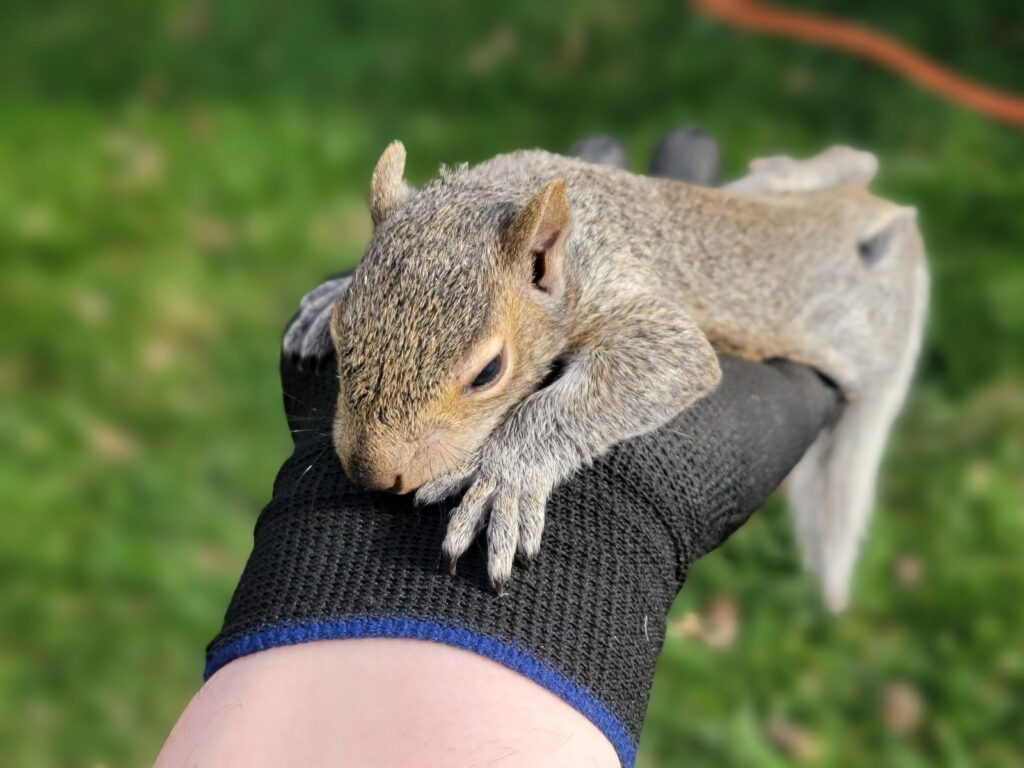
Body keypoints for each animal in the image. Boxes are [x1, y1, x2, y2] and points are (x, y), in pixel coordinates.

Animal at [284, 140, 928, 610]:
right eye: (343, 332)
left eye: (489, 371)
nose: (372, 473)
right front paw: (322, 303)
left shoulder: (638, 310)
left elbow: (652, 366)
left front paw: (501, 475)